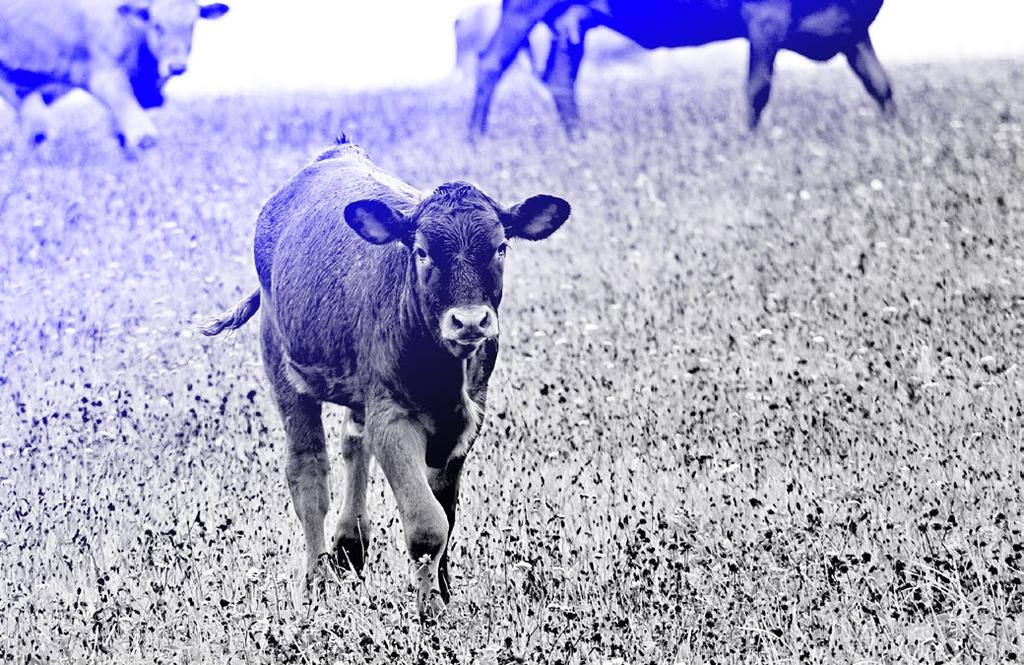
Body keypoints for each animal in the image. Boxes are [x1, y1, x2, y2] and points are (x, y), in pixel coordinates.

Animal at [0, 0, 228, 150]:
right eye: (157, 25)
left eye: (192, 24)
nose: (177, 66)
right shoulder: (108, 79)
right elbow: (144, 136)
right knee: (39, 129)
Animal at [199, 137, 569, 614]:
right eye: (422, 251)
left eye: (501, 247)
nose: (470, 321)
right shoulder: (393, 418)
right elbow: (428, 524)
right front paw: (430, 611)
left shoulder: (468, 418)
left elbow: (447, 512)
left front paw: (443, 591)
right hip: (283, 367)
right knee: (308, 473)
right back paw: (317, 579)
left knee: (354, 442)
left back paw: (350, 543)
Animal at [468, 0, 892, 140]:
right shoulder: (765, 18)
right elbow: (758, 88)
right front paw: (750, 143)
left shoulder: (853, 29)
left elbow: (880, 84)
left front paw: (894, 134)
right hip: (522, 9)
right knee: (491, 62)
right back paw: (475, 140)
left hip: (572, 22)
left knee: (560, 78)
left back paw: (579, 141)